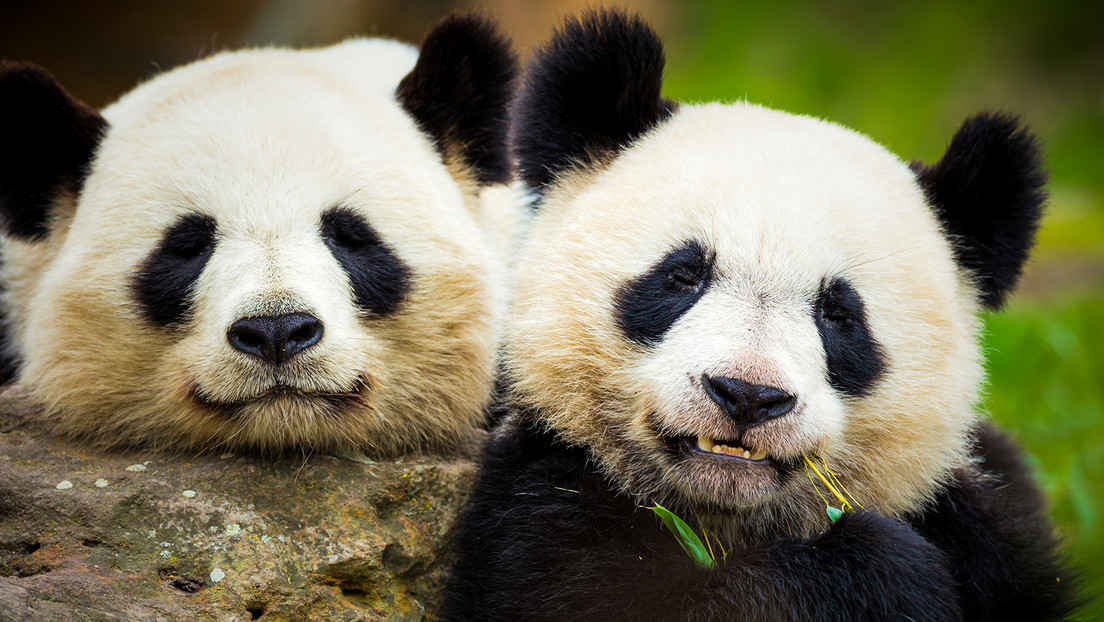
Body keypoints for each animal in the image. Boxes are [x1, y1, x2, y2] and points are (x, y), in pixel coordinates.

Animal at [442, 11, 1077, 621]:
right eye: (684, 276)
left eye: (838, 314)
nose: (747, 396)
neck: (725, 512)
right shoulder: (546, 498)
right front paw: (875, 569)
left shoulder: (979, 518)